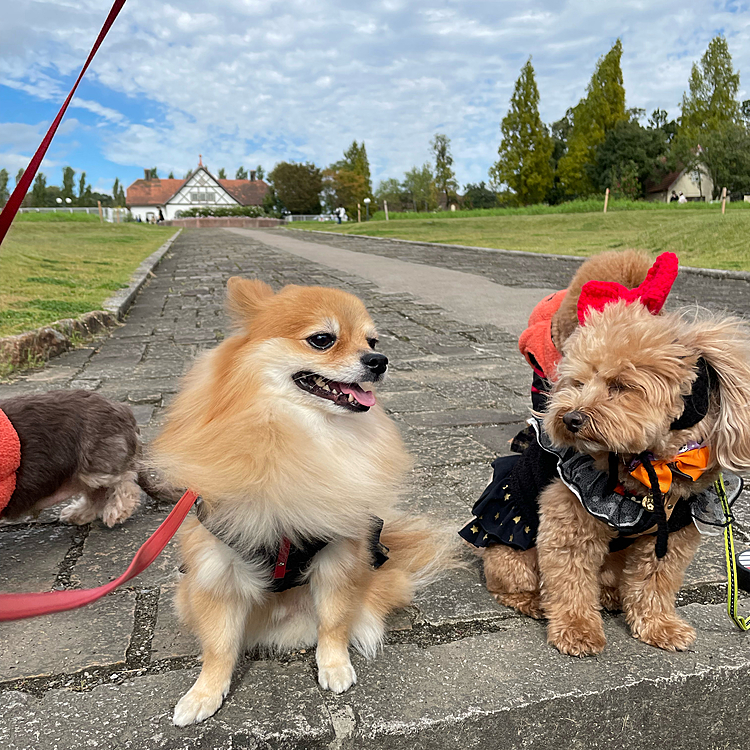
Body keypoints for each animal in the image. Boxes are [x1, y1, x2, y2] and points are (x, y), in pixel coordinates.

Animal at [154, 280, 458, 724]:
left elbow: (332, 622)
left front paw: (334, 665)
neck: (300, 435)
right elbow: (219, 645)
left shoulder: (339, 556)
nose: (379, 361)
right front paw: (204, 693)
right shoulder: (216, 571)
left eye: (373, 341)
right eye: (322, 340)